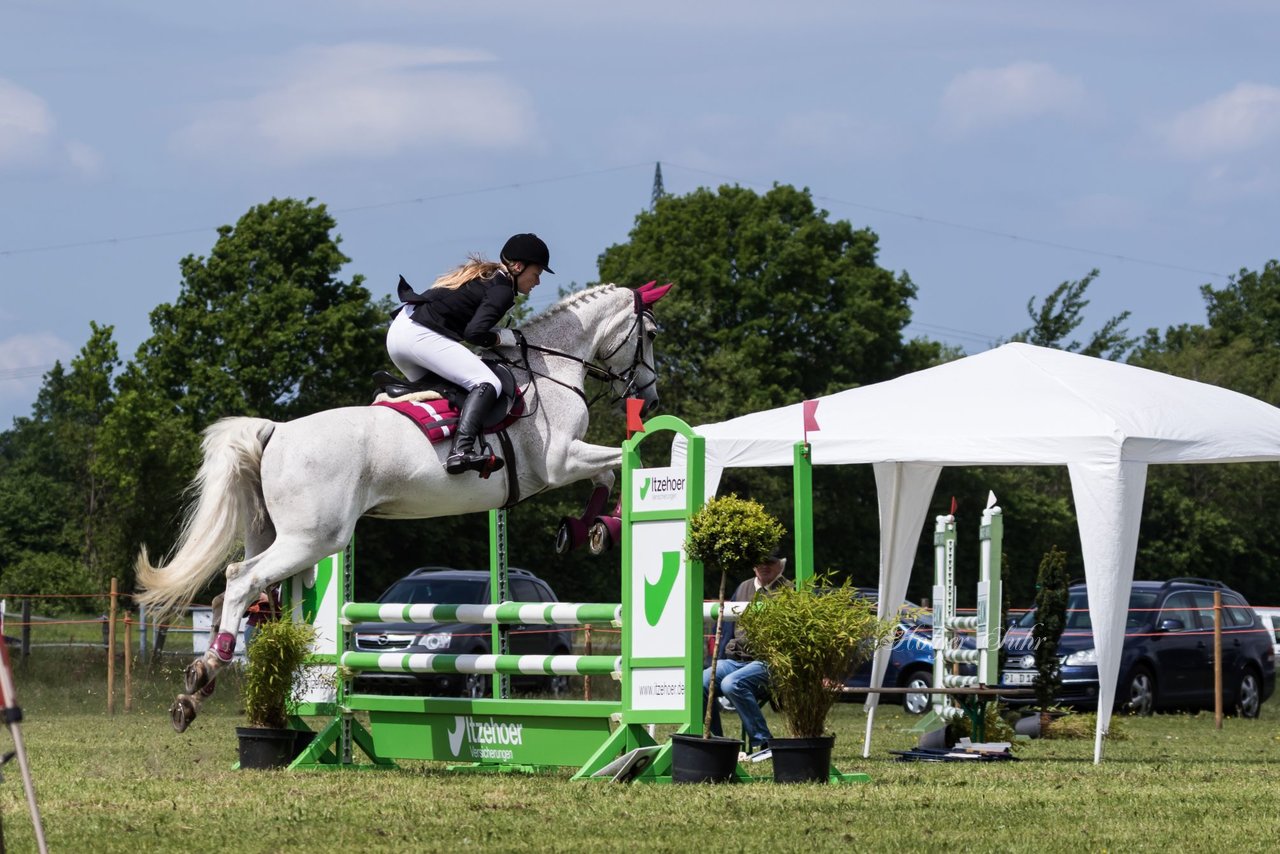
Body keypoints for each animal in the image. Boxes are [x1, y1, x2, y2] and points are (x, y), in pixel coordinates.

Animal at [136, 284, 670, 732]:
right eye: (649, 334)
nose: (650, 397)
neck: (549, 371)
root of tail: (277, 431)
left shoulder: (563, 463)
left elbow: (610, 472)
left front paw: (585, 531)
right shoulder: (559, 461)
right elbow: (617, 465)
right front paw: (600, 529)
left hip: (277, 534)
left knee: (236, 596)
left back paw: (193, 694)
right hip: (314, 538)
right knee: (241, 579)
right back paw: (209, 667)